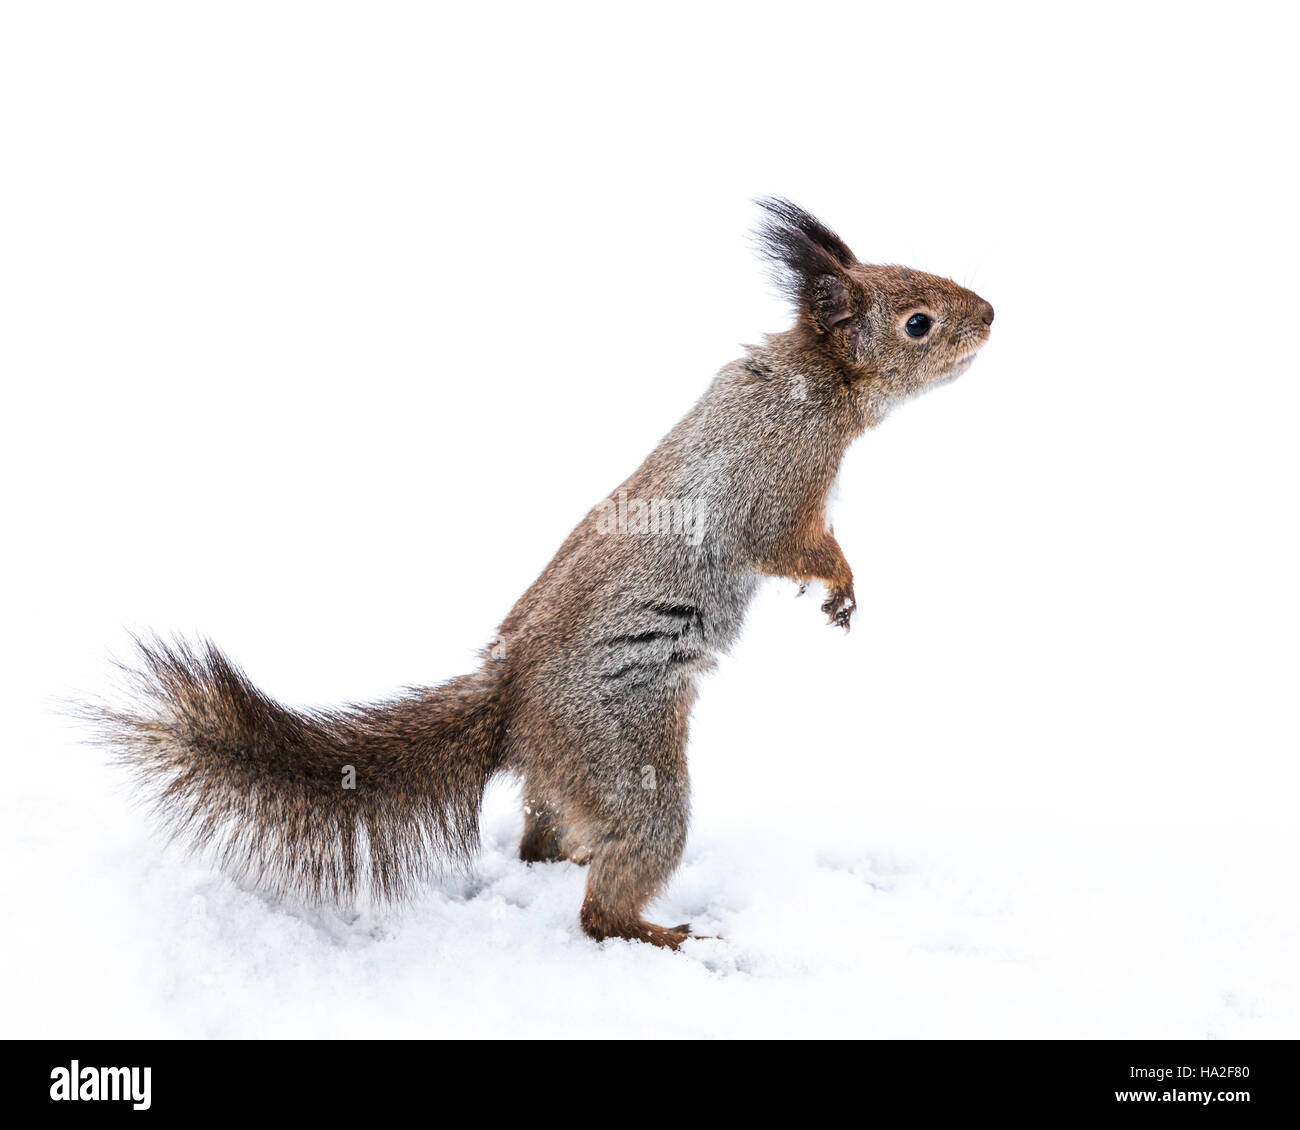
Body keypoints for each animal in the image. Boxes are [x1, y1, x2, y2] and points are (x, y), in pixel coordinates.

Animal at [94, 200, 993, 941]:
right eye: (918, 322)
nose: (989, 315)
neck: (817, 380)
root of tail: (513, 702)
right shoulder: (778, 474)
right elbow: (790, 543)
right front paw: (841, 587)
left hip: (573, 773)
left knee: (542, 835)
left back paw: (571, 863)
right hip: (626, 757)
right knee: (607, 891)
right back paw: (653, 932)